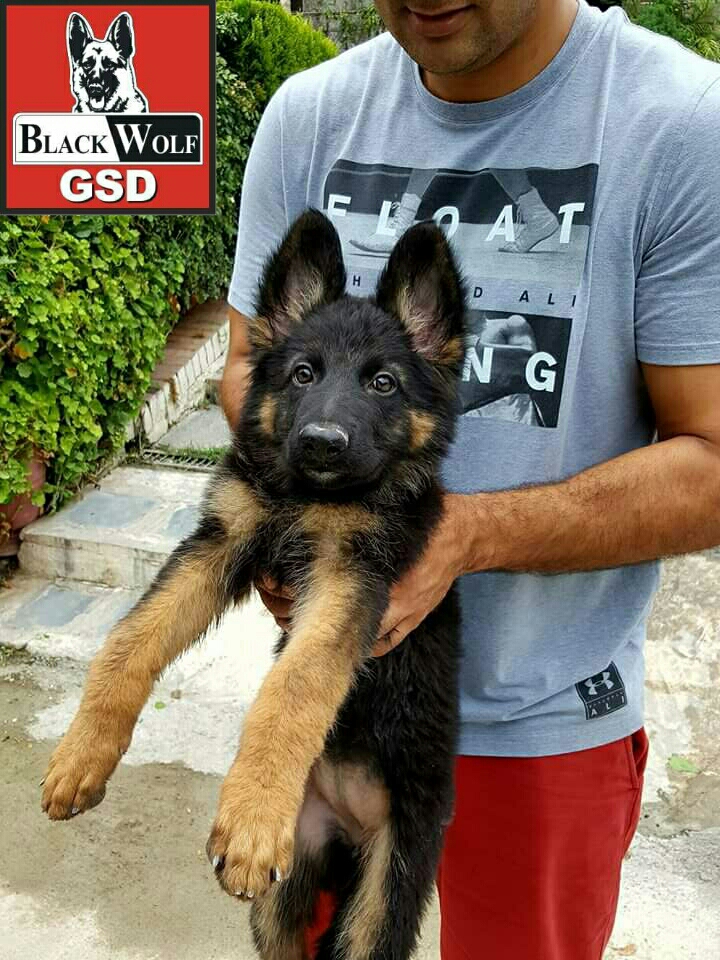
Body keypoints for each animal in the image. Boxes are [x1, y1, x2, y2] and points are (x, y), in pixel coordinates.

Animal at [41, 210, 466, 960]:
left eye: (383, 384)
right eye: (302, 374)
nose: (322, 442)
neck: (308, 497)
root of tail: (347, 825)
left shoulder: (351, 577)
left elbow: (296, 683)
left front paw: (251, 814)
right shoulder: (223, 540)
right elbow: (131, 637)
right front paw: (82, 752)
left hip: (385, 893)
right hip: (281, 899)